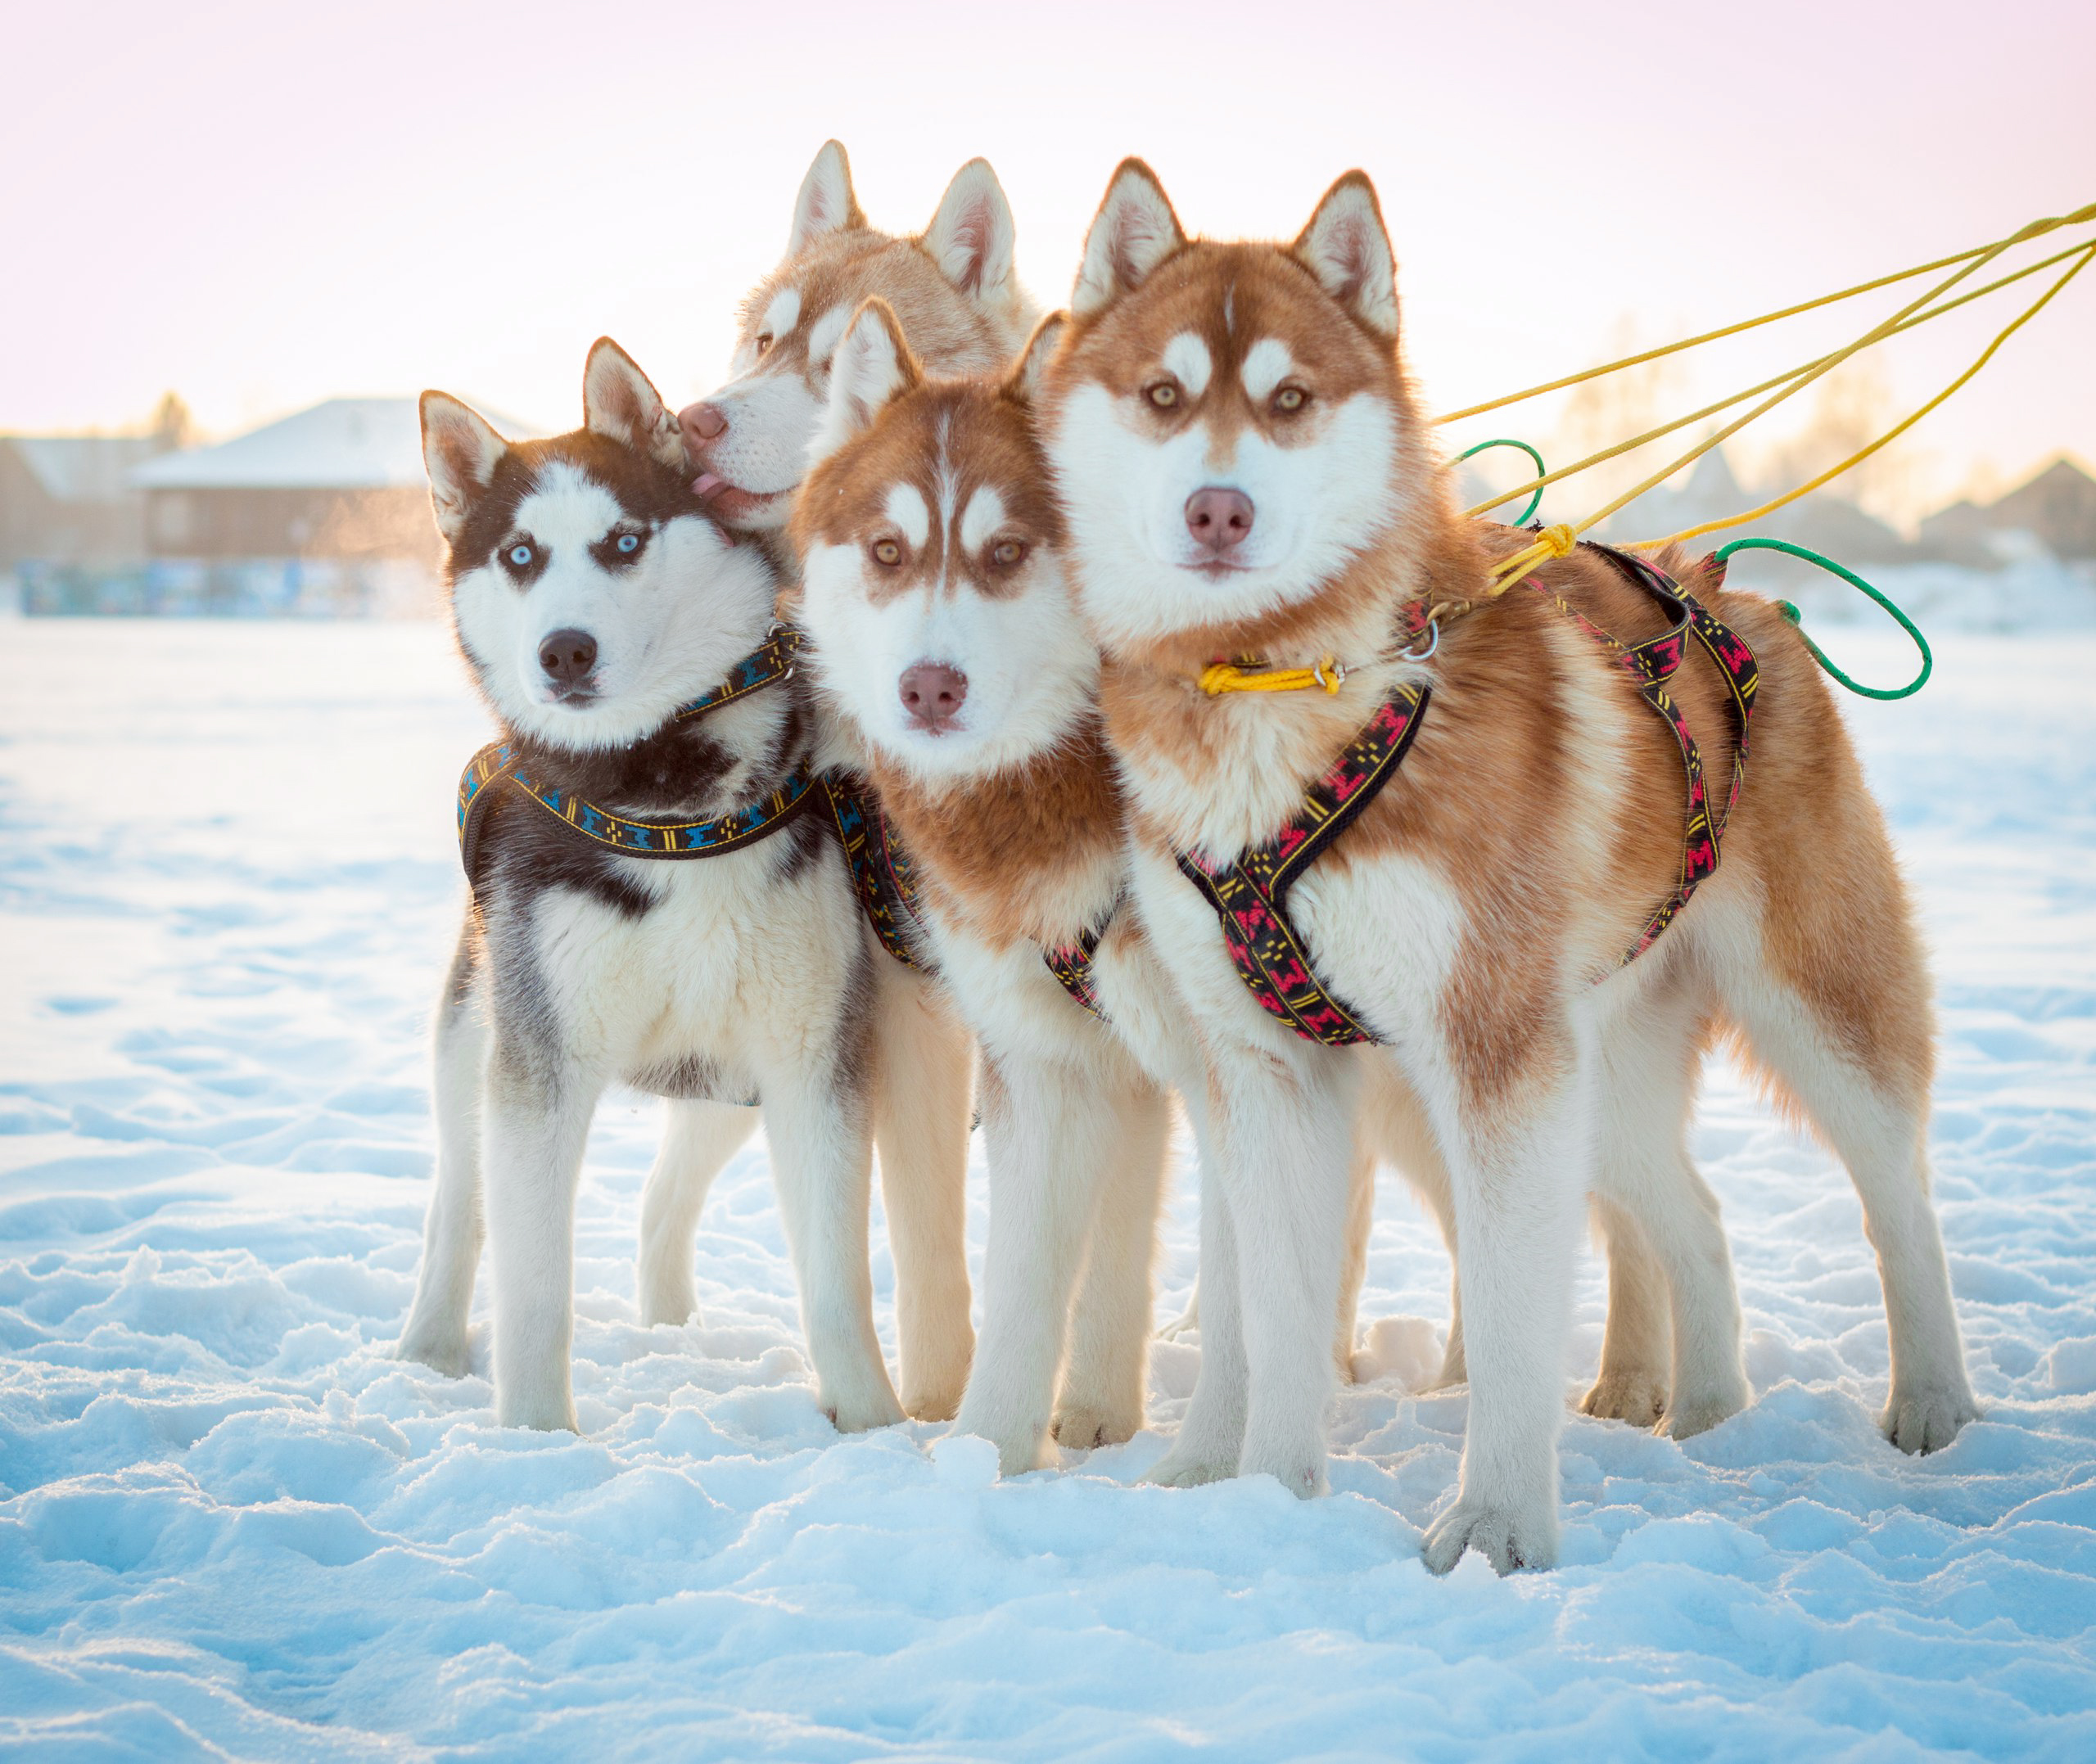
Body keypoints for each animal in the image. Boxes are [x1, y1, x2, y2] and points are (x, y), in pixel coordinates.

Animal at [395, 339, 968, 1432]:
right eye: (520, 556)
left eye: (624, 541)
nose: (564, 650)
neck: (667, 804)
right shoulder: (541, 1068)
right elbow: (534, 1284)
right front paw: (536, 1437)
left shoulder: (811, 1061)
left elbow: (836, 1281)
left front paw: (874, 1425)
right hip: (475, 1033)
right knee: (457, 1199)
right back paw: (428, 1348)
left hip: (728, 1078)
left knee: (663, 1195)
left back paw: (670, 1327)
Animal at [1039, 165, 1970, 1567]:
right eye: (1162, 394)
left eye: (1289, 399)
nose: (1218, 508)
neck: (1281, 692)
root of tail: (1734, 590)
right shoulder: (1272, 1071)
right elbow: (1279, 1312)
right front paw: (1269, 1498)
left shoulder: (1492, 1057)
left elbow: (1512, 1322)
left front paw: (1495, 1525)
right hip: (1600, 1067)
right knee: (1695, 1218)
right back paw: (1710, 1416)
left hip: (1804, 1006)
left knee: (1898, 1194)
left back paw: (1934, 1404)